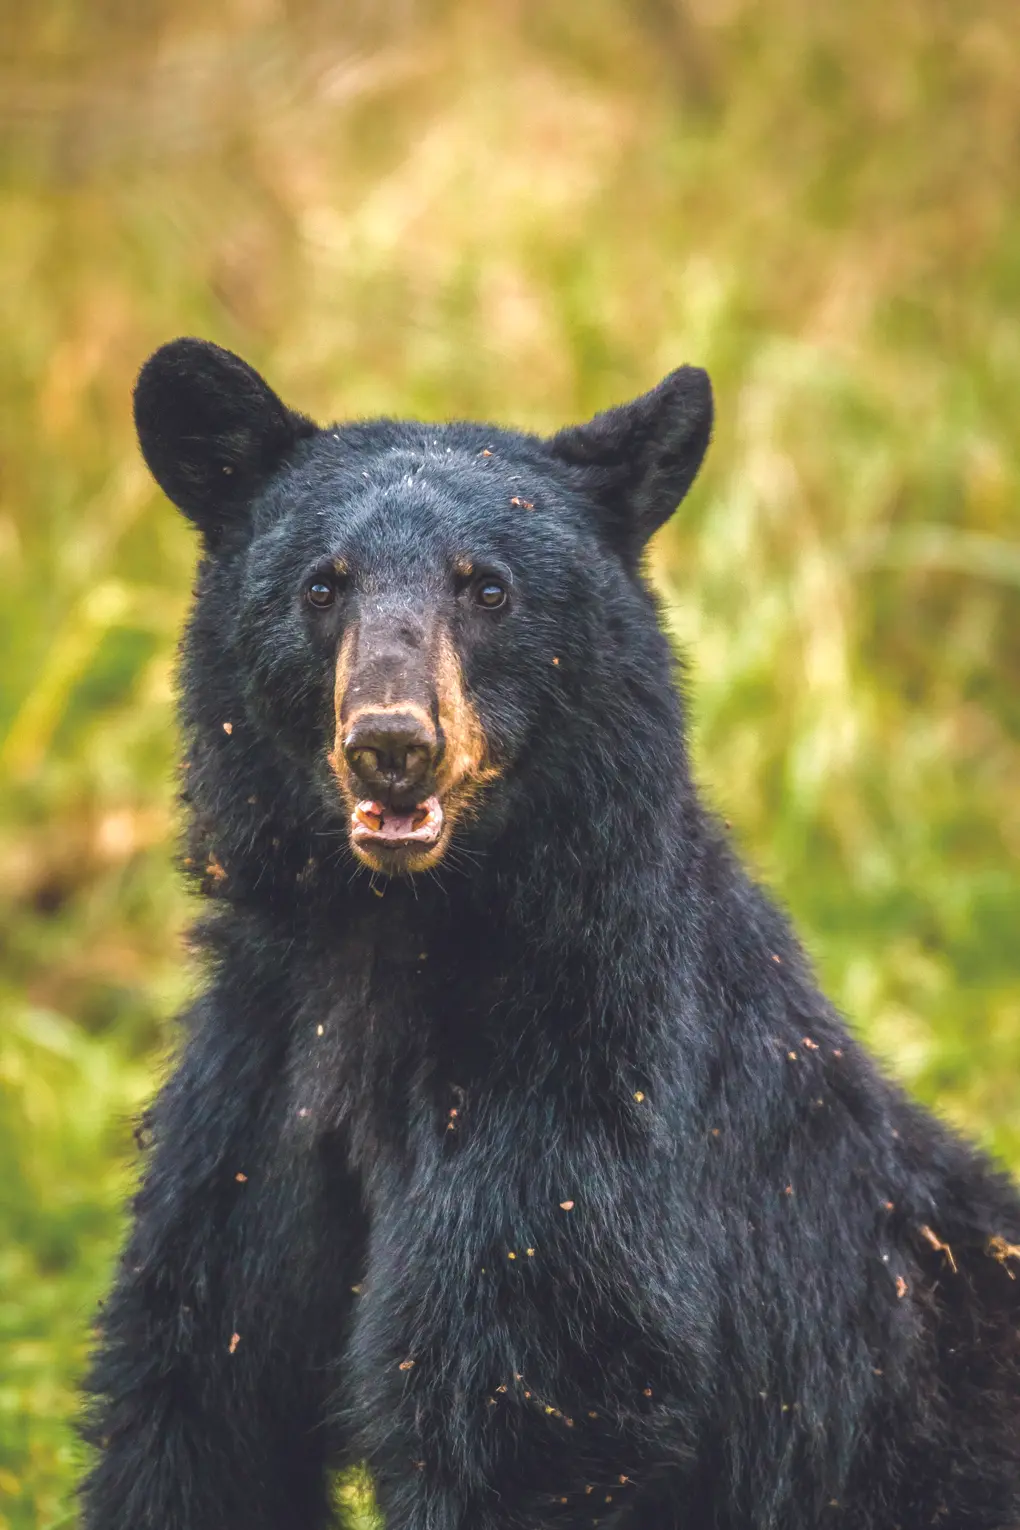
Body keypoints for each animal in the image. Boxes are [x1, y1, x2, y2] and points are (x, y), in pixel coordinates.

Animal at [81, 337, 1020, 1530]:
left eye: (488, 588)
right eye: (321, 585)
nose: (394, 745)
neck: (388, 943)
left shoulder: (577, 1106)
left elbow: (516, 1400)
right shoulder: (257, 1097)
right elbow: (199, 1402)